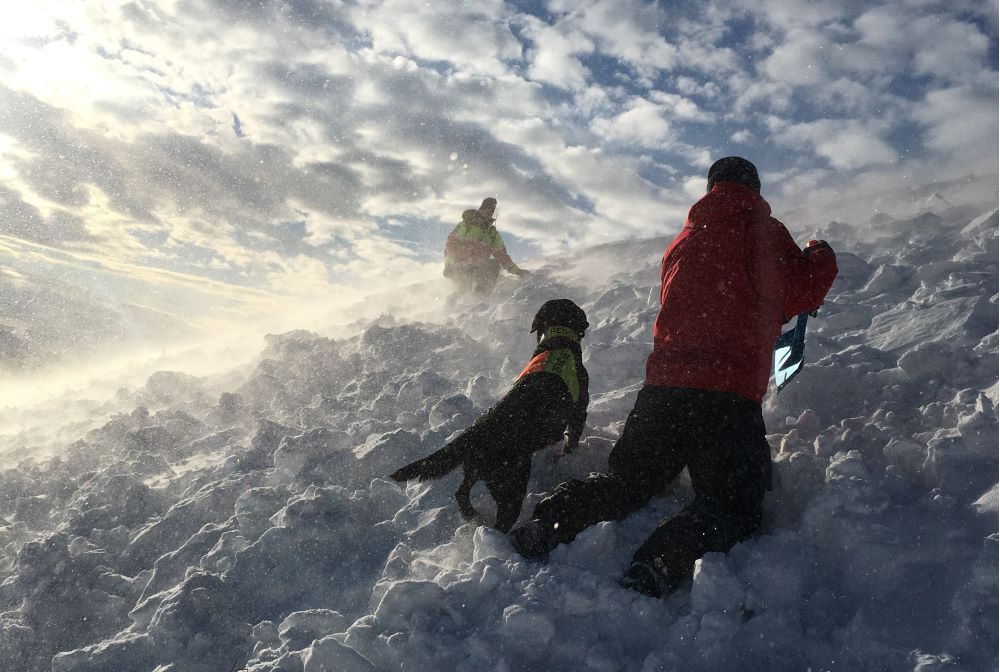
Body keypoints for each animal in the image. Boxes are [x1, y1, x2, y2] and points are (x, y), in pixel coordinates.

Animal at [390, 302, 588, 532]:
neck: (557, 339)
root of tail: (475, 431)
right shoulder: (579, 411)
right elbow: (572, 440)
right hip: (511, 482)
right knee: (501, 520)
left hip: (475, 468)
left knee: (460, 493)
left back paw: (472, 516)